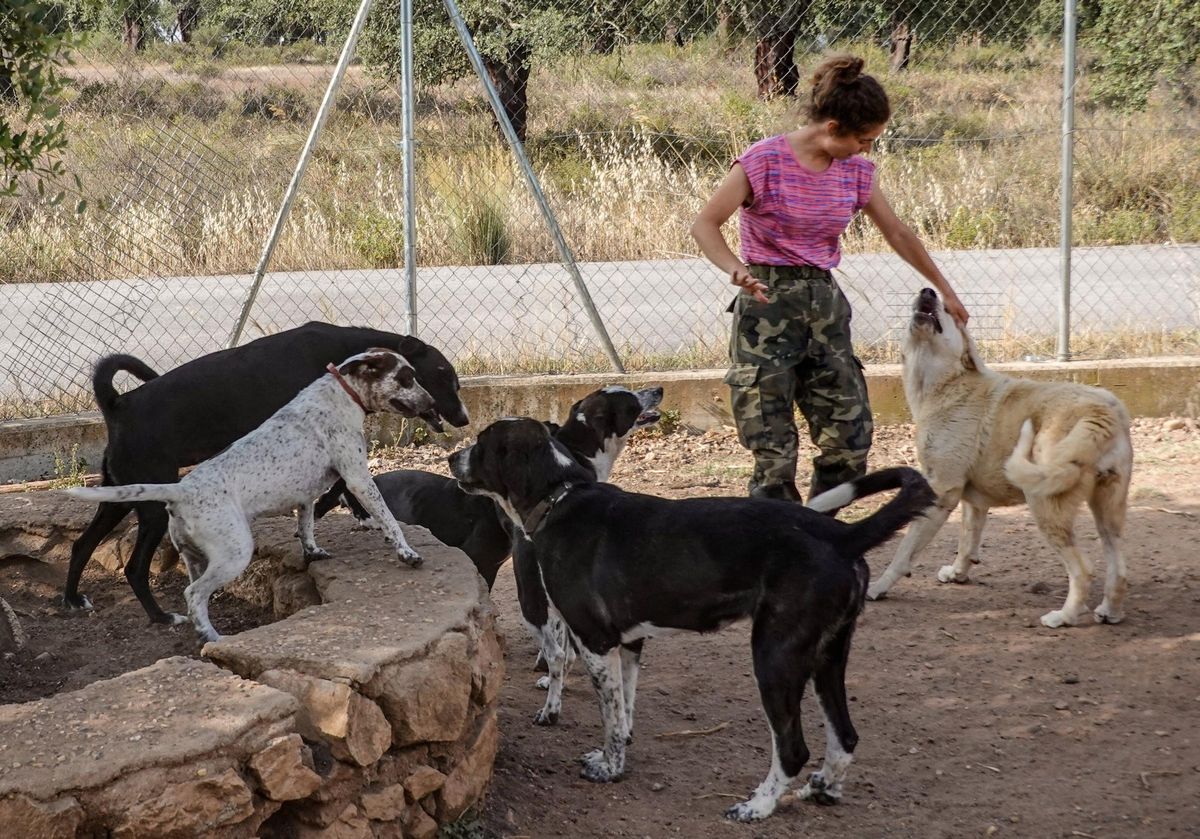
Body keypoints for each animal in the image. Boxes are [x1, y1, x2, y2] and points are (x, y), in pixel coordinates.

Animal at [63, 321, 468, 624]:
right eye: (441, 374)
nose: (464, 418)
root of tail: (117, 404)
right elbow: (350, 493)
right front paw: (370, 524)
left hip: (119, 495)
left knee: (82, 544)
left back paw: (72, 599)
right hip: (151, 510)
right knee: (134, 568)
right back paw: (161, 616)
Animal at [451, 417, 936, 825]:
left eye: (482, 443)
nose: (451, 456)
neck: (560, 496)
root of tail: (841, 534)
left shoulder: (595, 642)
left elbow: (608, 716)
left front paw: (610, 768)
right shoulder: (630, 643)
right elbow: (624, 710)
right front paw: (623, 748)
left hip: (776, 658)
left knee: (793, 747)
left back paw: (758, 806)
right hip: (827, 658)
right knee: (845, 735)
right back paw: (824, 788)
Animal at [868, 290, 1128, 628]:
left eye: (949, 311)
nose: (928, 291)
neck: (948, 385)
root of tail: (1099, 413)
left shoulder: (940, 492)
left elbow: (903, 553)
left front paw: (879, 587)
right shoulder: (971, 502)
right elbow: (967, 541)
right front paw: (958, 574)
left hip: (1045, 505)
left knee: (1083, 570)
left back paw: (1064, 617)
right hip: (1107, 512)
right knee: (1119, 569)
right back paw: (1110, 611)